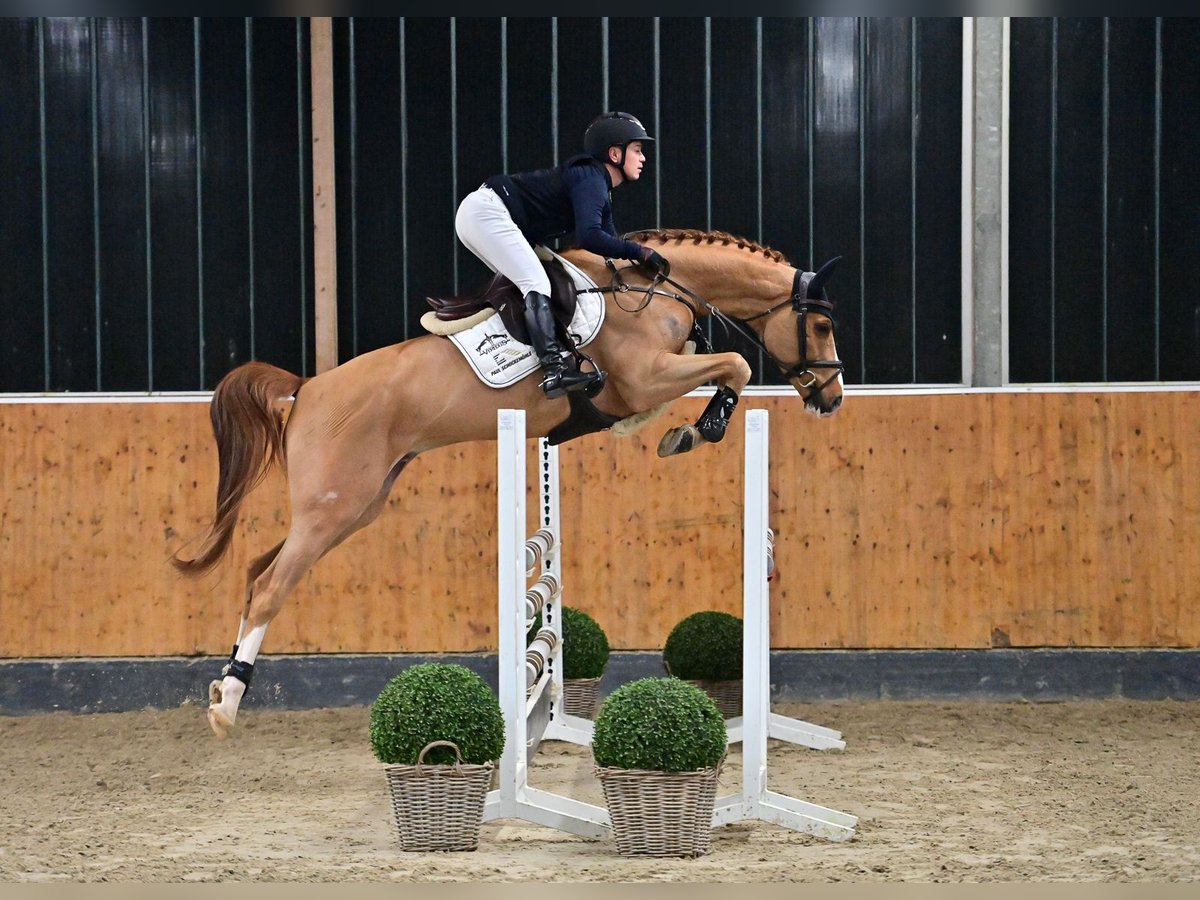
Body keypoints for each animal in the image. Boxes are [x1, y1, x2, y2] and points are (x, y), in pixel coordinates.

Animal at [171, 226, 844, 739]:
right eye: (821, 328)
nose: (831, 397)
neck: (653, 293)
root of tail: (306, 389)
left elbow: (713, 371)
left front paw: (671, 430)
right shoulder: (645, 376)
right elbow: (735, 365)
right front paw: (694, 430)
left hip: (355, 506)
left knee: (257, 570)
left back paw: (224, 689)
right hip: (333, 508)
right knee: (269, 588)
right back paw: (228, 706)